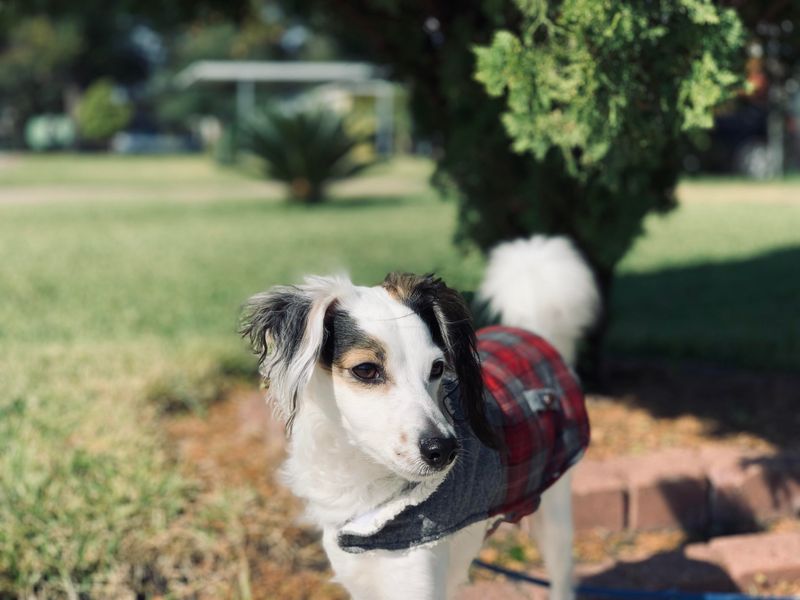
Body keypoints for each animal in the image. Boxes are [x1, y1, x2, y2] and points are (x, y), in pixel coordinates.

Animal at [244, 237, 600, 596]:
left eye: (437, 368)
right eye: (366, 370)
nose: (443, 450)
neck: (359, 476)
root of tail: (533, 332)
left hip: (555, 515)